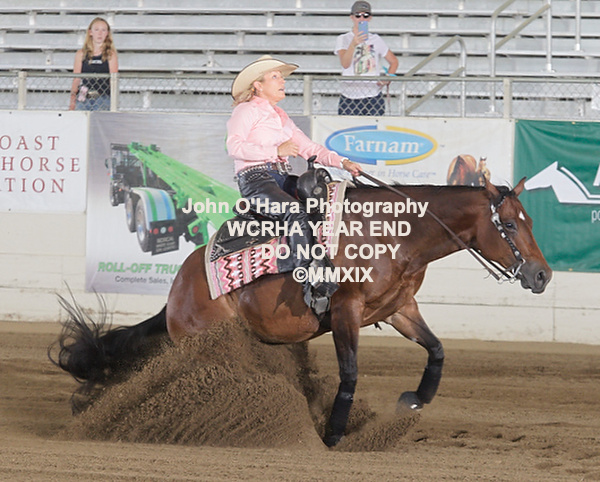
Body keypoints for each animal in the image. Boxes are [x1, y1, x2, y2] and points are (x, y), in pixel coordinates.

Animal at [51, 177, 552, 448]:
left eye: (529, 219)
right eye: (509, 224)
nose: (543, 275)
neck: (394, 234)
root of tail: (176, 292)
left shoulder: (399, 309)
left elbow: (438, 351)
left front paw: (413, 399)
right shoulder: (346, 311)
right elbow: (350, 373)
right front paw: (332, 435)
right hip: (210, 345)